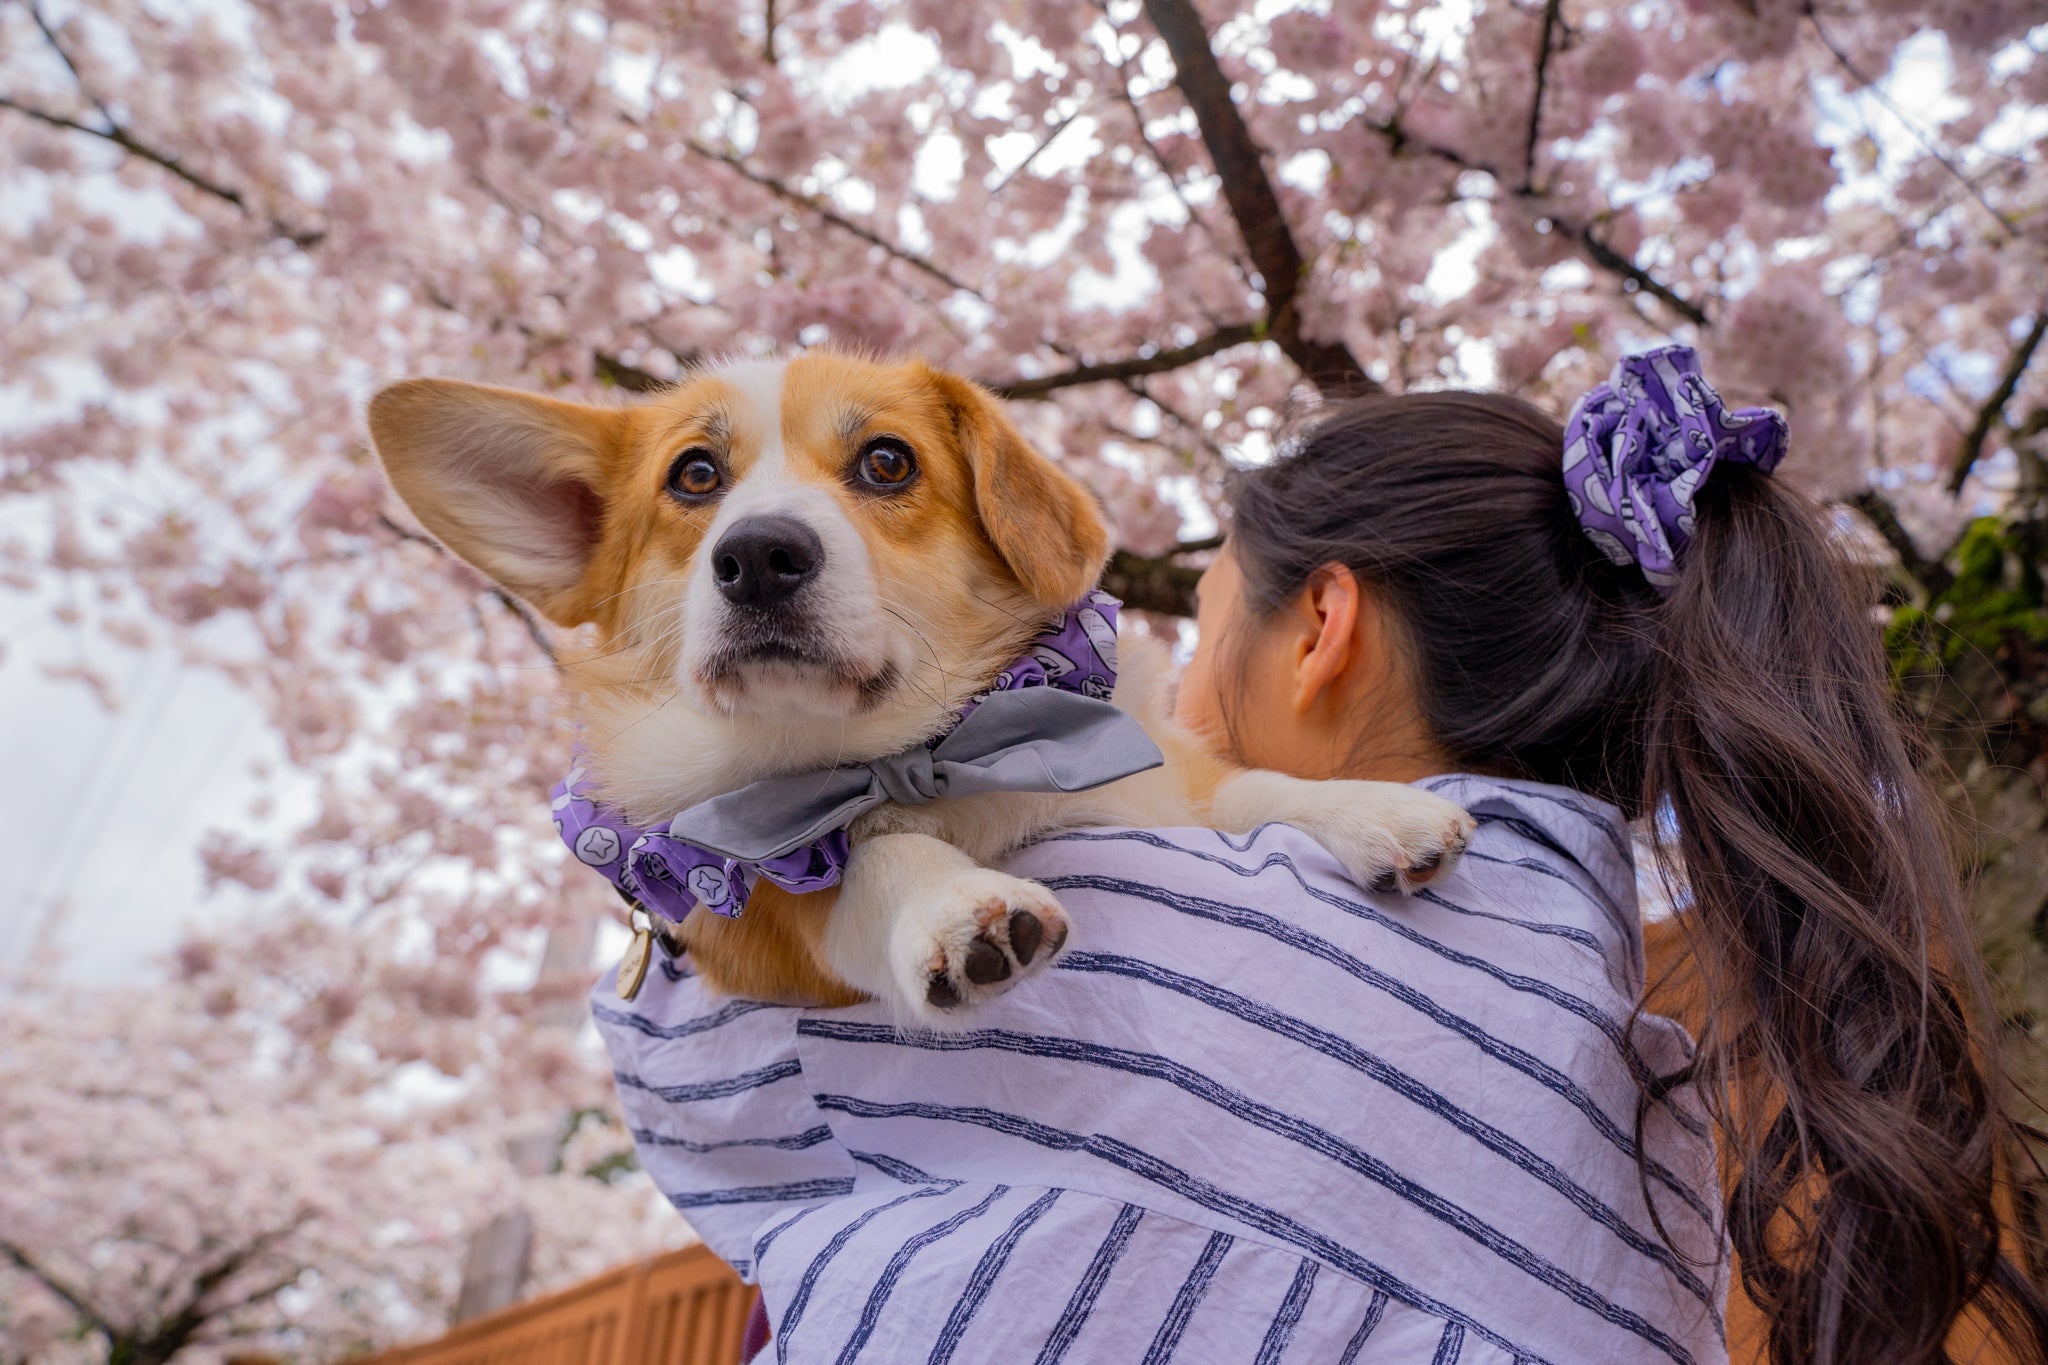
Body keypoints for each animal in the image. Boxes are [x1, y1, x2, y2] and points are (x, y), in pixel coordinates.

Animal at [368, 351, 1482, 1023]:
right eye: (694, 477)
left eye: (887, 461)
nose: (758, 556)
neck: (916, 760)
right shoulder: (769, 931)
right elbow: (872, 864)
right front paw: (958, 908)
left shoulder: (1158, 785)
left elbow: (1250, 787)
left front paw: (1375, 812)